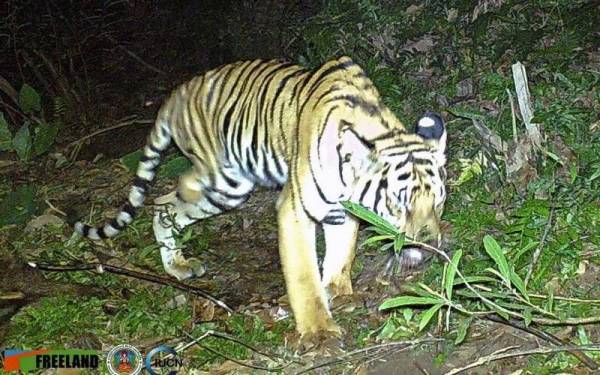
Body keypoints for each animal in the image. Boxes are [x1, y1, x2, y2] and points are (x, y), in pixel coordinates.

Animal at [75, 56, 446, 346]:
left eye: (439, 203)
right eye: (399, 204)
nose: (431, 247)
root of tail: (176, 93)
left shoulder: (342, 213)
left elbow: (341, 256)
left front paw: (340, 293)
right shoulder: (295, 212)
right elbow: (304, 277)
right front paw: (319, 331)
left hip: (227, 191)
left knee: (165, 205)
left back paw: (178, 265)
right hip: (223, 181)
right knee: (170, 196)